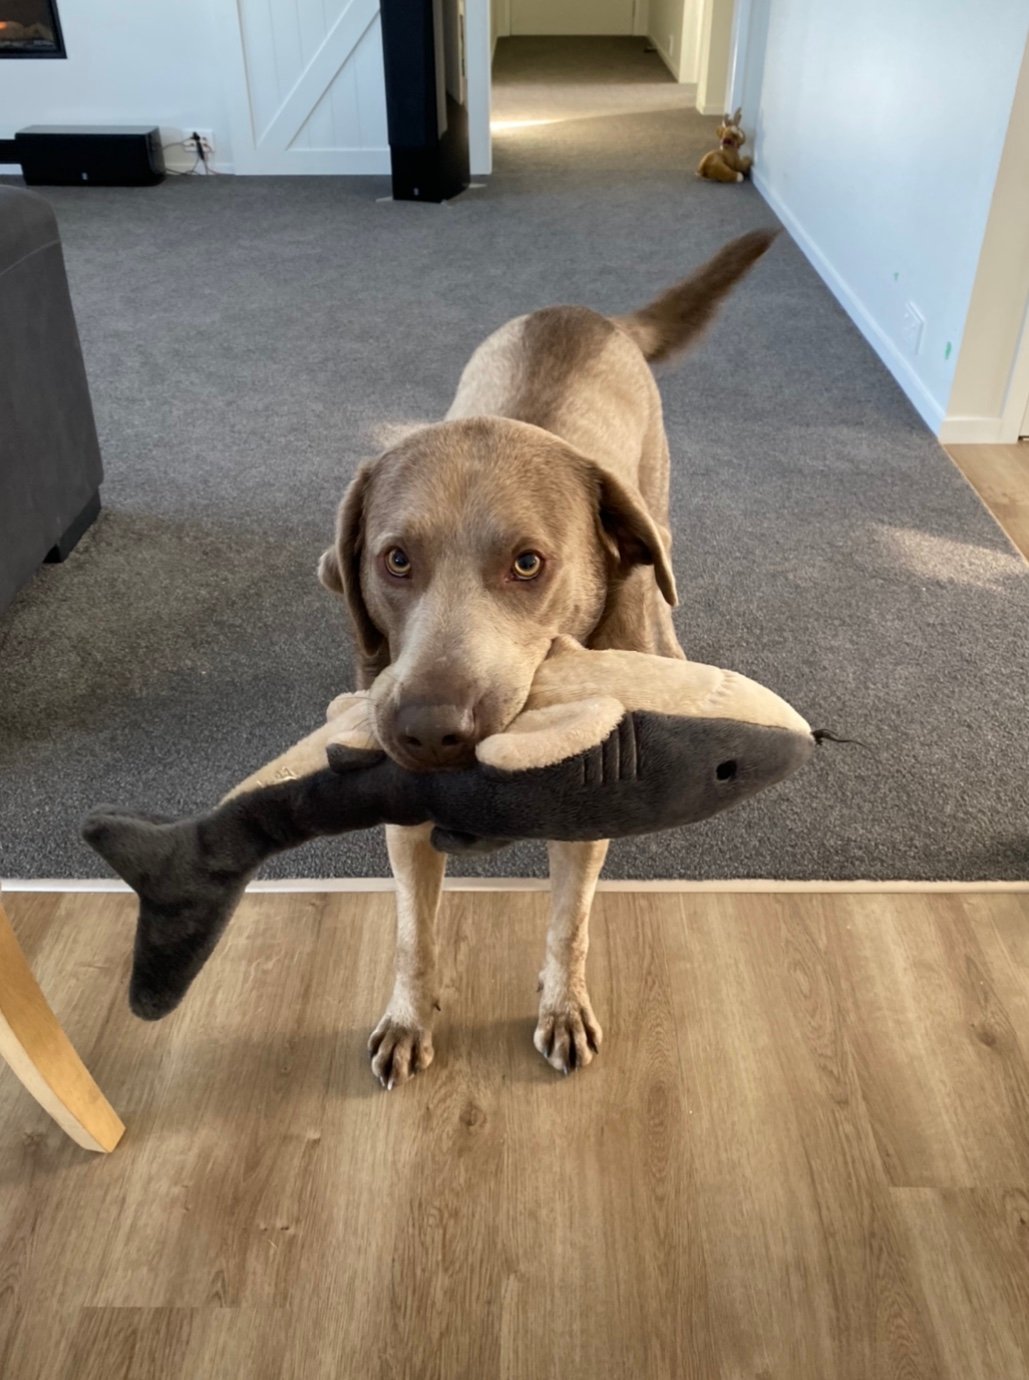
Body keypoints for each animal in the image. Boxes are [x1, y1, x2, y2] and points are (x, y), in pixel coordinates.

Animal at [317, 229, 772, 1087]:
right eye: (395, 561)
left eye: (527, 564)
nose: (429, 729)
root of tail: (592, 314)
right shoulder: (405, 821)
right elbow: (413, 935)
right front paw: (407, 1019)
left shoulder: (586, 822)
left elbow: (570, 924)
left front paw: (562, 1007)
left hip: (655, 502)